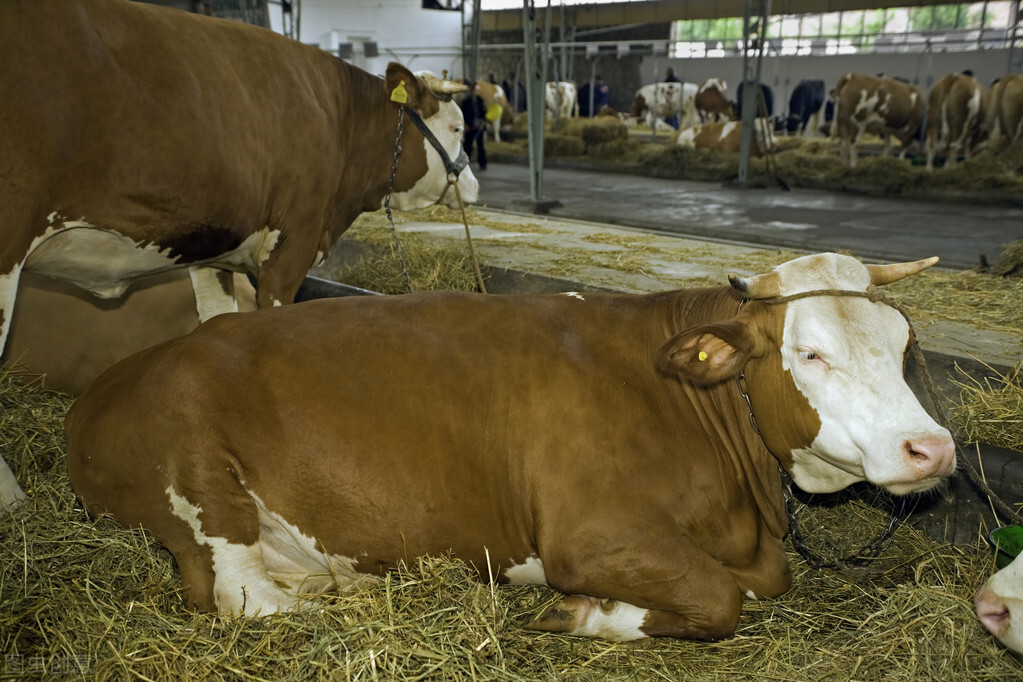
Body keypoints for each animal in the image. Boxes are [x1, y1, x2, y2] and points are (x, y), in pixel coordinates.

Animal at [0, 0, 478, 509]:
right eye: (457, 127)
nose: (473, 185)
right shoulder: (291, 247)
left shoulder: (212, 258)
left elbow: (216, 324)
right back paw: (12, 500)